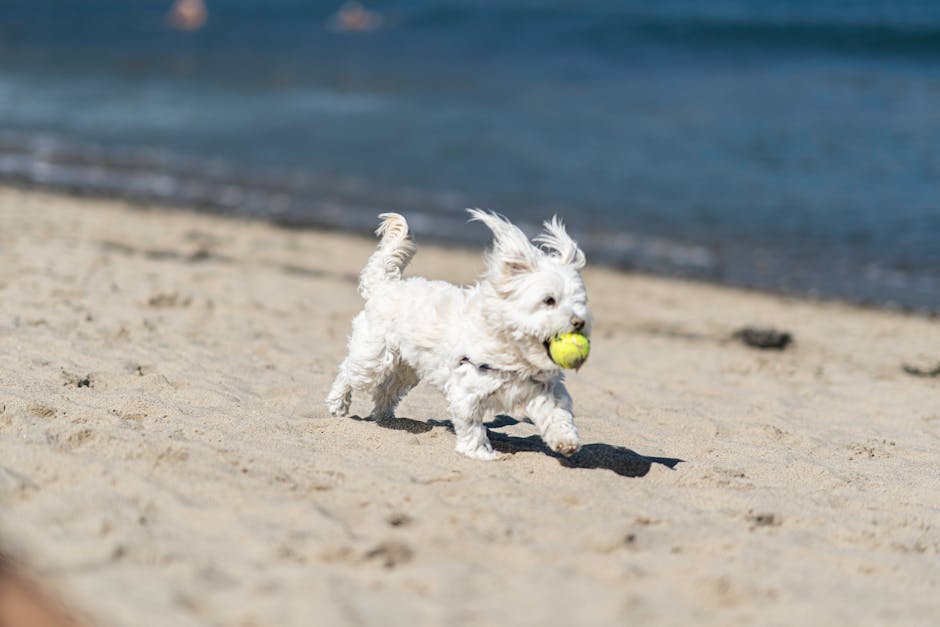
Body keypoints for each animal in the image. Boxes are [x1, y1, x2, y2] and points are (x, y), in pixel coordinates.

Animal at [328, 211, 596, 462]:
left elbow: (557, 414)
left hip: (407, 369)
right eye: (549, 300)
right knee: (348, 372)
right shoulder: (467, 390)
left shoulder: (543, 390)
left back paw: (386, 418)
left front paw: (565, 440)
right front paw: (480, 454)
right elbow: (472, 427)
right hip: (373, 359)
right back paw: (338, 404)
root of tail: (386, 287)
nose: (579, 322)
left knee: (386, 390)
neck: (512, 351)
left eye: (580, 302)